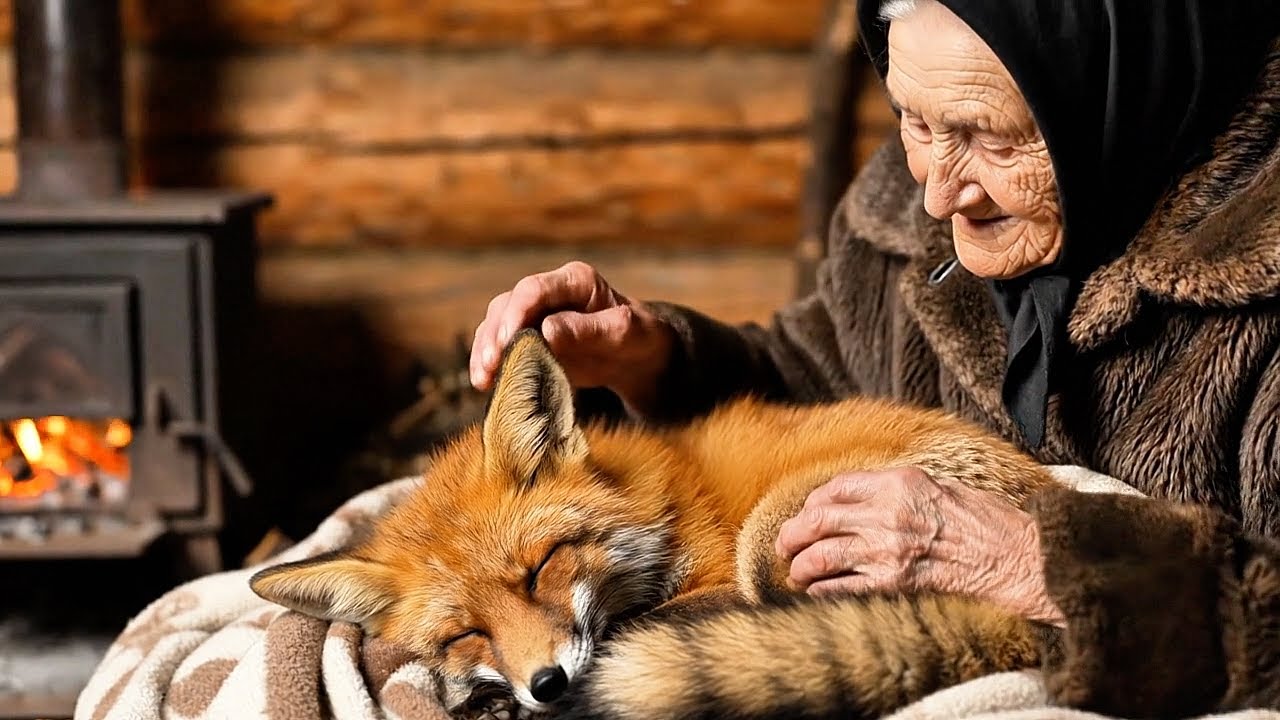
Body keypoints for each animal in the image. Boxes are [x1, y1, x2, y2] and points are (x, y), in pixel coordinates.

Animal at [250, 328, 1061, 720]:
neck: (651, 508)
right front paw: (492, 698)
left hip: (782, 536)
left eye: (540, 570)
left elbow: (640, 629)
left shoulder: (713, 574)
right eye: (465, 634)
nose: (546, 685)